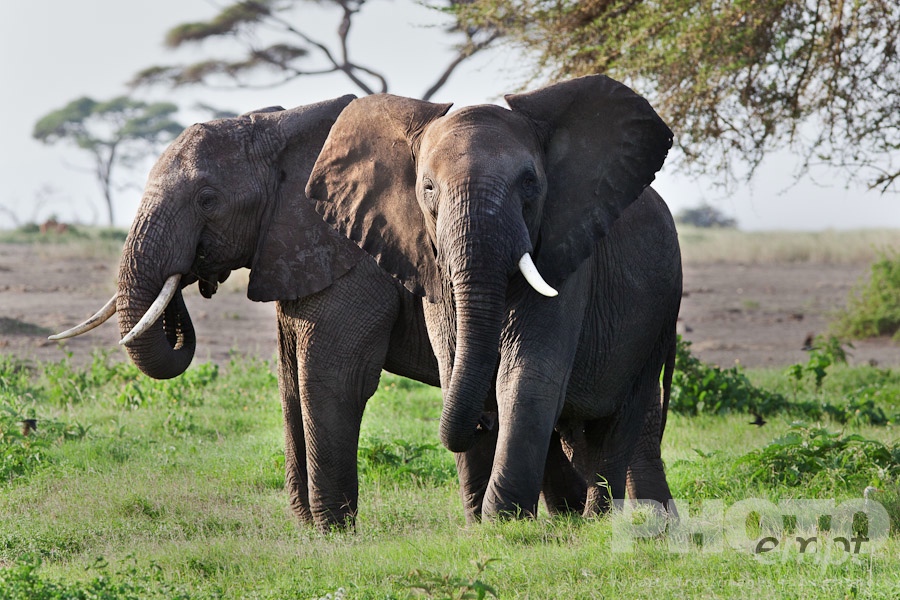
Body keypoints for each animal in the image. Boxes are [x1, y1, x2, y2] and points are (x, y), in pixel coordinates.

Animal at [308, 74, 683, 520]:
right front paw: (490, 521)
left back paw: (596, 520)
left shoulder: (566, 252)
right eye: (428, 187)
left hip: (658, 317)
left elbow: (527, 375)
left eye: (529, 183)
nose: (482, 422)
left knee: (618, 422)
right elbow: (454, 364)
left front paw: (505, 520)